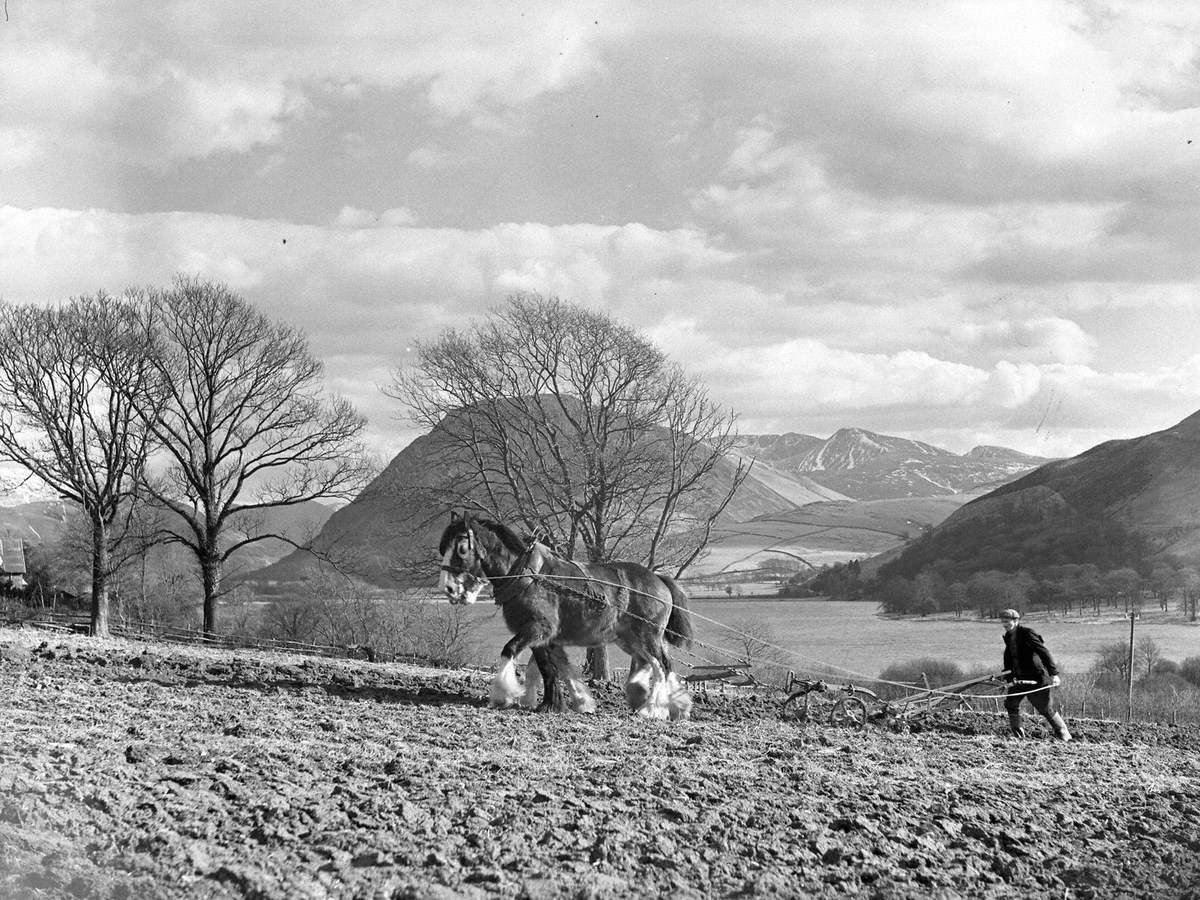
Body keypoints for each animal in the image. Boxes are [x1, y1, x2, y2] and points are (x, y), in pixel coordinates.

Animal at [439, 511, 696, 724]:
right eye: (443, 548)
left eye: (461, 548)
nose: (449, 589)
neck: (527, 577)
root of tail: (658, 578)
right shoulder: (544, 638)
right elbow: (551, 668)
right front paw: (565, 702)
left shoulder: (537, 629)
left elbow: (513, 652)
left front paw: (504, 695)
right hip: (630, 639)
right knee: (648, 663)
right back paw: (664, 701)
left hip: (647, 635)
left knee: (662, 666)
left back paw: (652, 708)